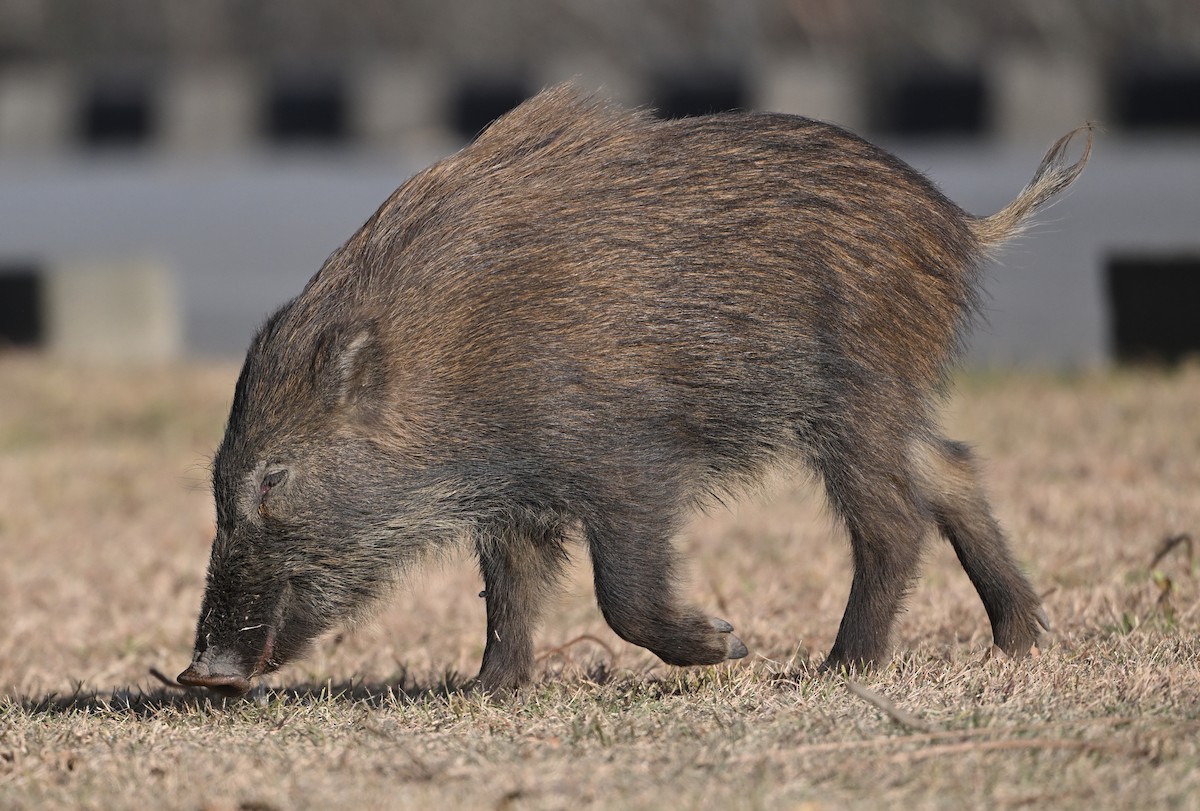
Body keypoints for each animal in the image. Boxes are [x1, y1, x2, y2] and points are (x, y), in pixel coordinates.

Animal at [177, 83, 1090, 696]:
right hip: (893, 400)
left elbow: (620, 592)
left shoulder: (629, 463)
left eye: (274, 478)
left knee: (895, 520)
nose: (199, 674)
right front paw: (487, 690)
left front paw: (728, 644)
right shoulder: (518, 499)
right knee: (953, 469)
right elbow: (510, 592)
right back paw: (1021, 640)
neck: (451, 364)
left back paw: (836, 667)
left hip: (854, 397)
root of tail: (963, 223)